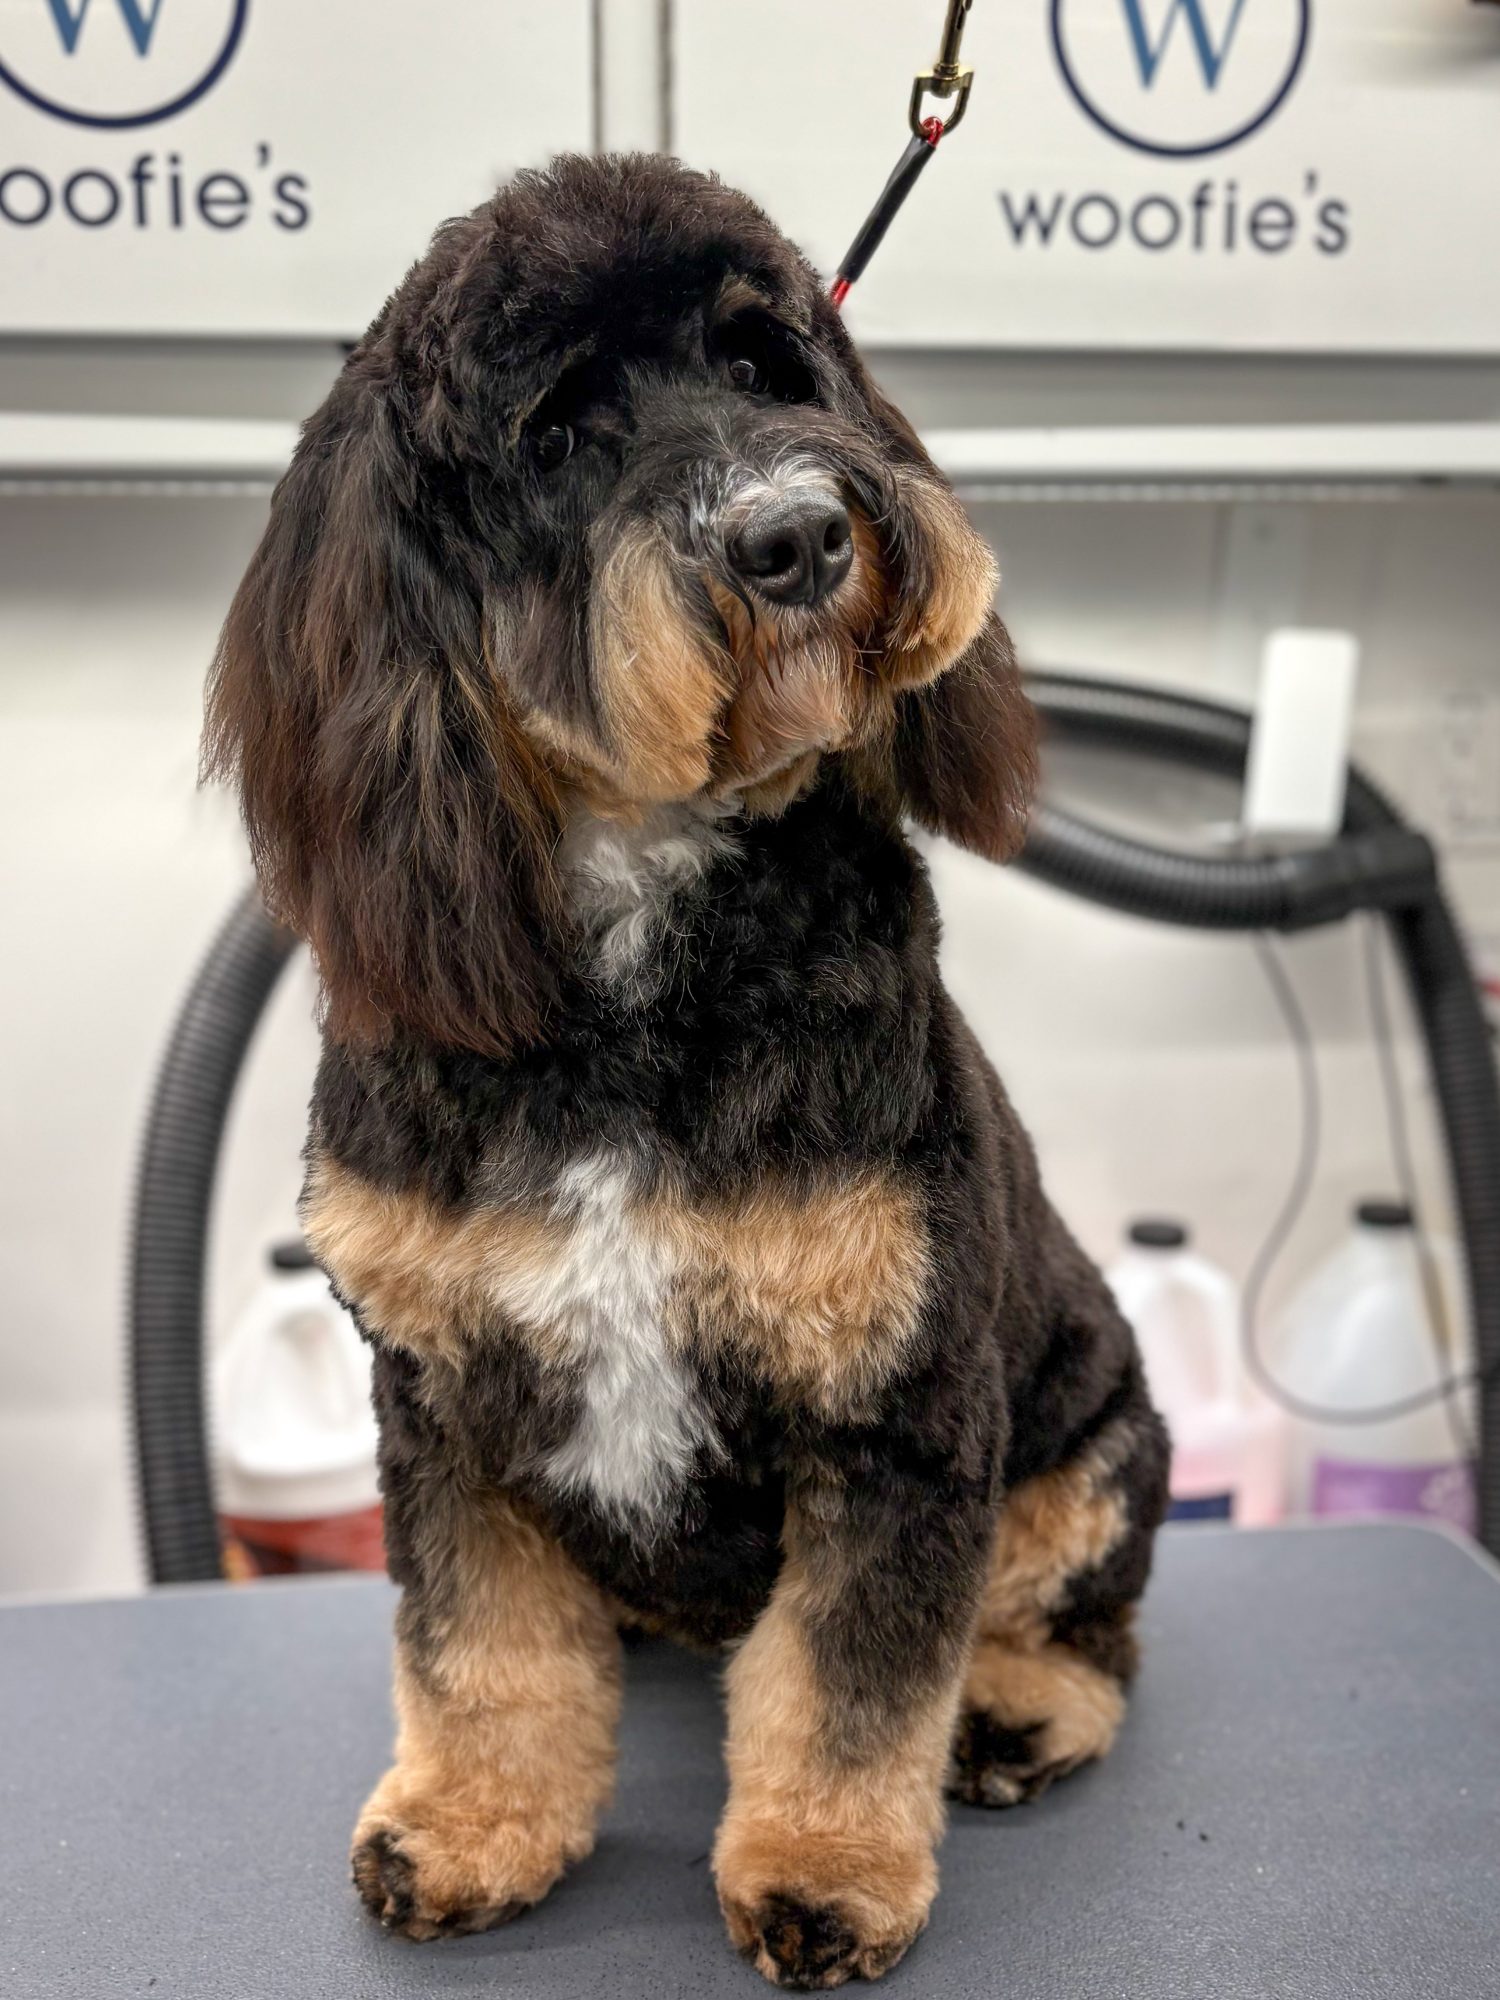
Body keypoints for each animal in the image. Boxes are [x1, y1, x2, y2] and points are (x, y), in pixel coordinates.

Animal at [204, 152, 1168, 1990]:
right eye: (559, 431)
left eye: (767, 361)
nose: (797, 533)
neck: (642, 960)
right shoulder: (444, 1402)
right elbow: (479, 1649)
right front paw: (470, 1825)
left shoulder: (898, 1410)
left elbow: (854, 1684)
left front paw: (824, 1870)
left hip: (1092, 1438)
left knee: (1082, 1622)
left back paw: (1015, 1711)